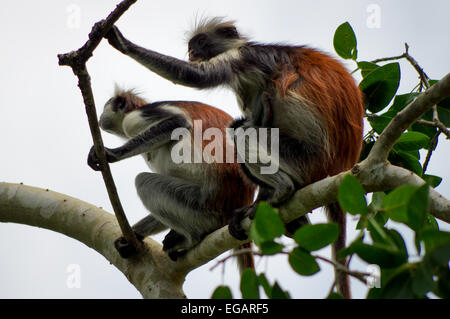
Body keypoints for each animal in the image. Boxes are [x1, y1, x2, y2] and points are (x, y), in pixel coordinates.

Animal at [87, 88, 256, 272]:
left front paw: (112, 153)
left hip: (203, 202)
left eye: (106, 106)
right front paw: (132, 237)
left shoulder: (137, 117)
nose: (100, 117)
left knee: (143, 182)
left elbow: (179, 122)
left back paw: (192, 238)